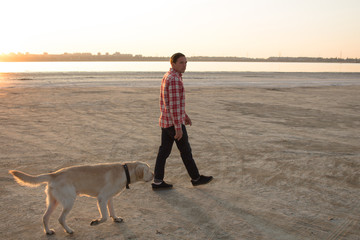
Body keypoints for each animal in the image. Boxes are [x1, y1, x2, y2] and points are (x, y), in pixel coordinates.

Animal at [9, 161, 153, 234]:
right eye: (148, 170)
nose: (153, 176)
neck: (125, 171)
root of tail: (54, 174)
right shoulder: (102, 198)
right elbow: (105, 216)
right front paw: (96, 221)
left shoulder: (109, 198)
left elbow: (112, 211)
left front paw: (116, 218)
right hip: (69, 201)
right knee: (61, 219)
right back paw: (69, 230)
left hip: (54, 202)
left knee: (45, 217)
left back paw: (48, 231)